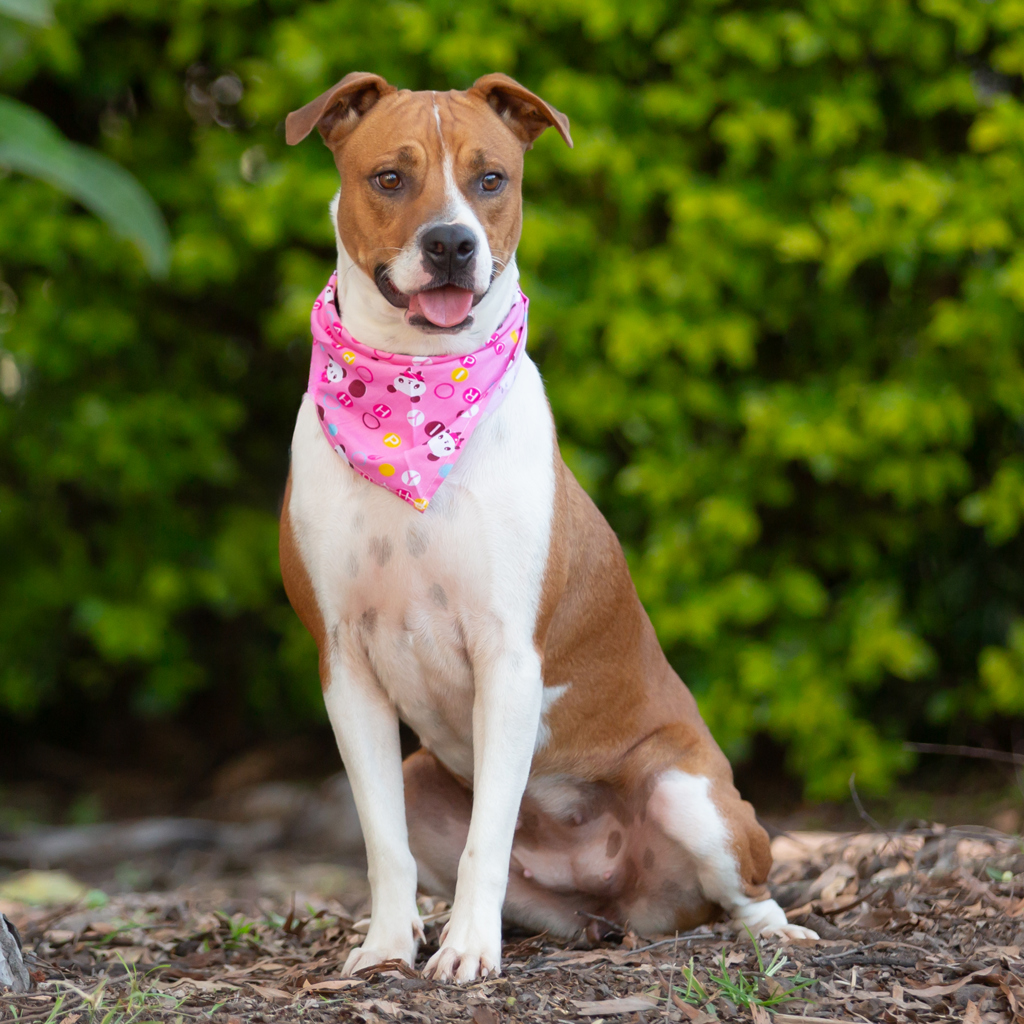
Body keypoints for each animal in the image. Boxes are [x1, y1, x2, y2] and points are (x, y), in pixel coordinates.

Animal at [279, 71, 817, 984]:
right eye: (390, 177)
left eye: (490, 178)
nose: (452, 243)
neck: (414, 401)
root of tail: (620, 892)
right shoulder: (344, 663)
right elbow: (383, 838)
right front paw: (389, 945)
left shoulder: (509, 658)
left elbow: (488, 838)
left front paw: (465, 951)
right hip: (428, 780)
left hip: (691, 794)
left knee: (747, 891)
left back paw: (777, 936)